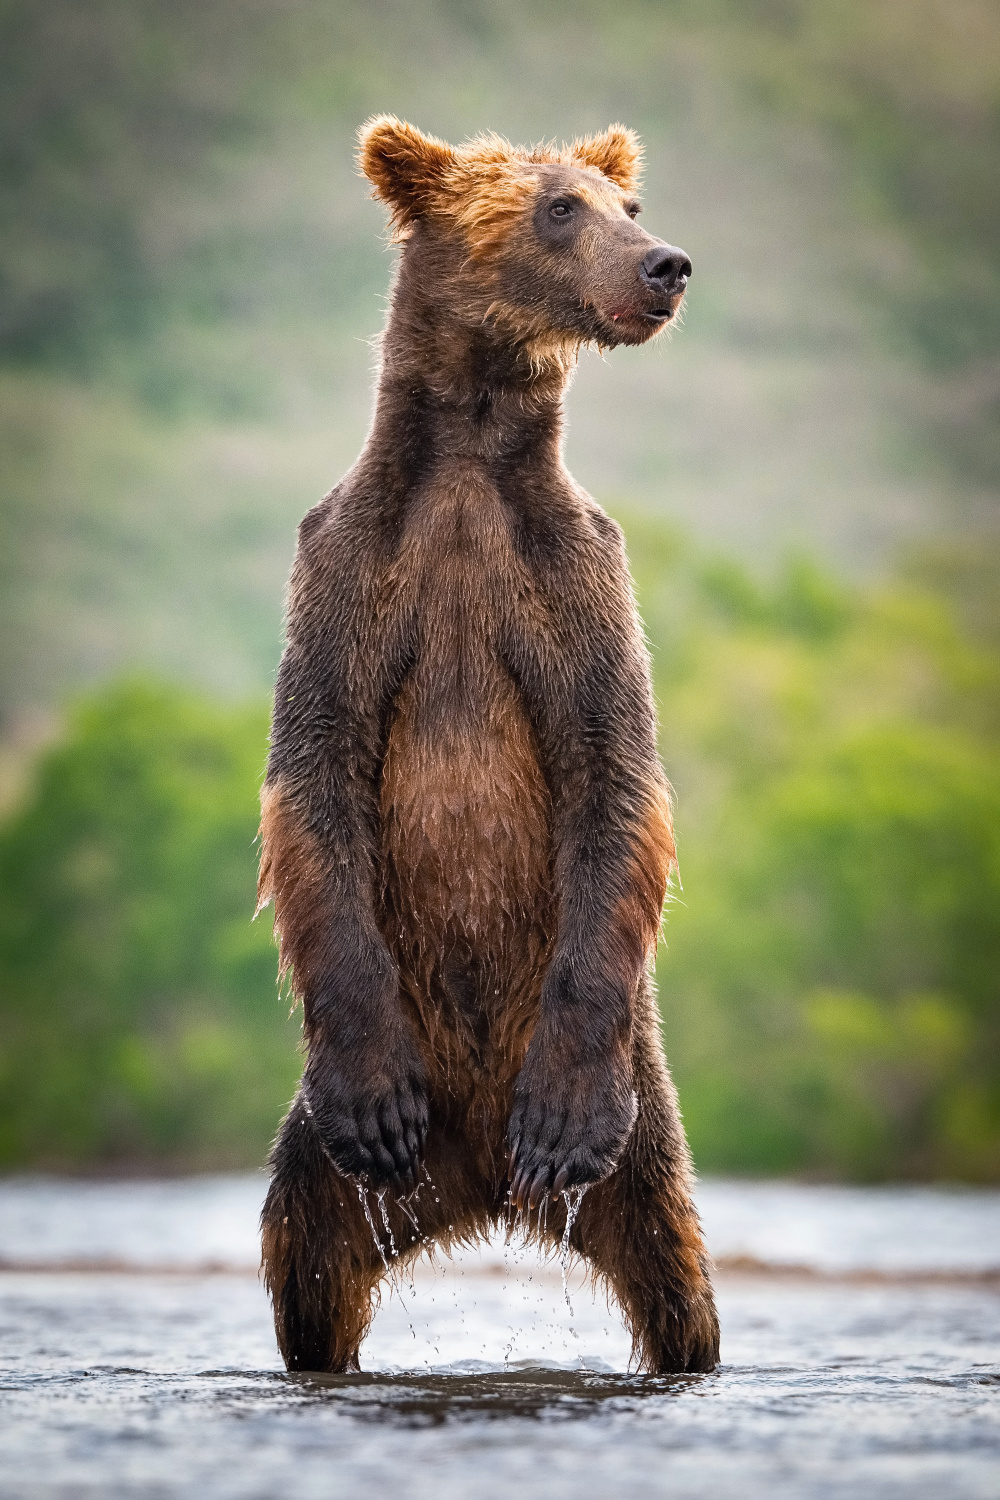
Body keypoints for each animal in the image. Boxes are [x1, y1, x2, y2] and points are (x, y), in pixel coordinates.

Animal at [260, 120, 719, 1374]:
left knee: (678, 1282)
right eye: (561, 208)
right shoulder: (352, 569)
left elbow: (616, 776)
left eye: (627, 203)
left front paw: (561, 1120)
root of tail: (479, 1184)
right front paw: (377, 1103)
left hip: (643, 1132)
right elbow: (311, 778)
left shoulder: (573, 579)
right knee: (306, 1260)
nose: (666, 264)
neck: (469, 454)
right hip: (323, 1155)